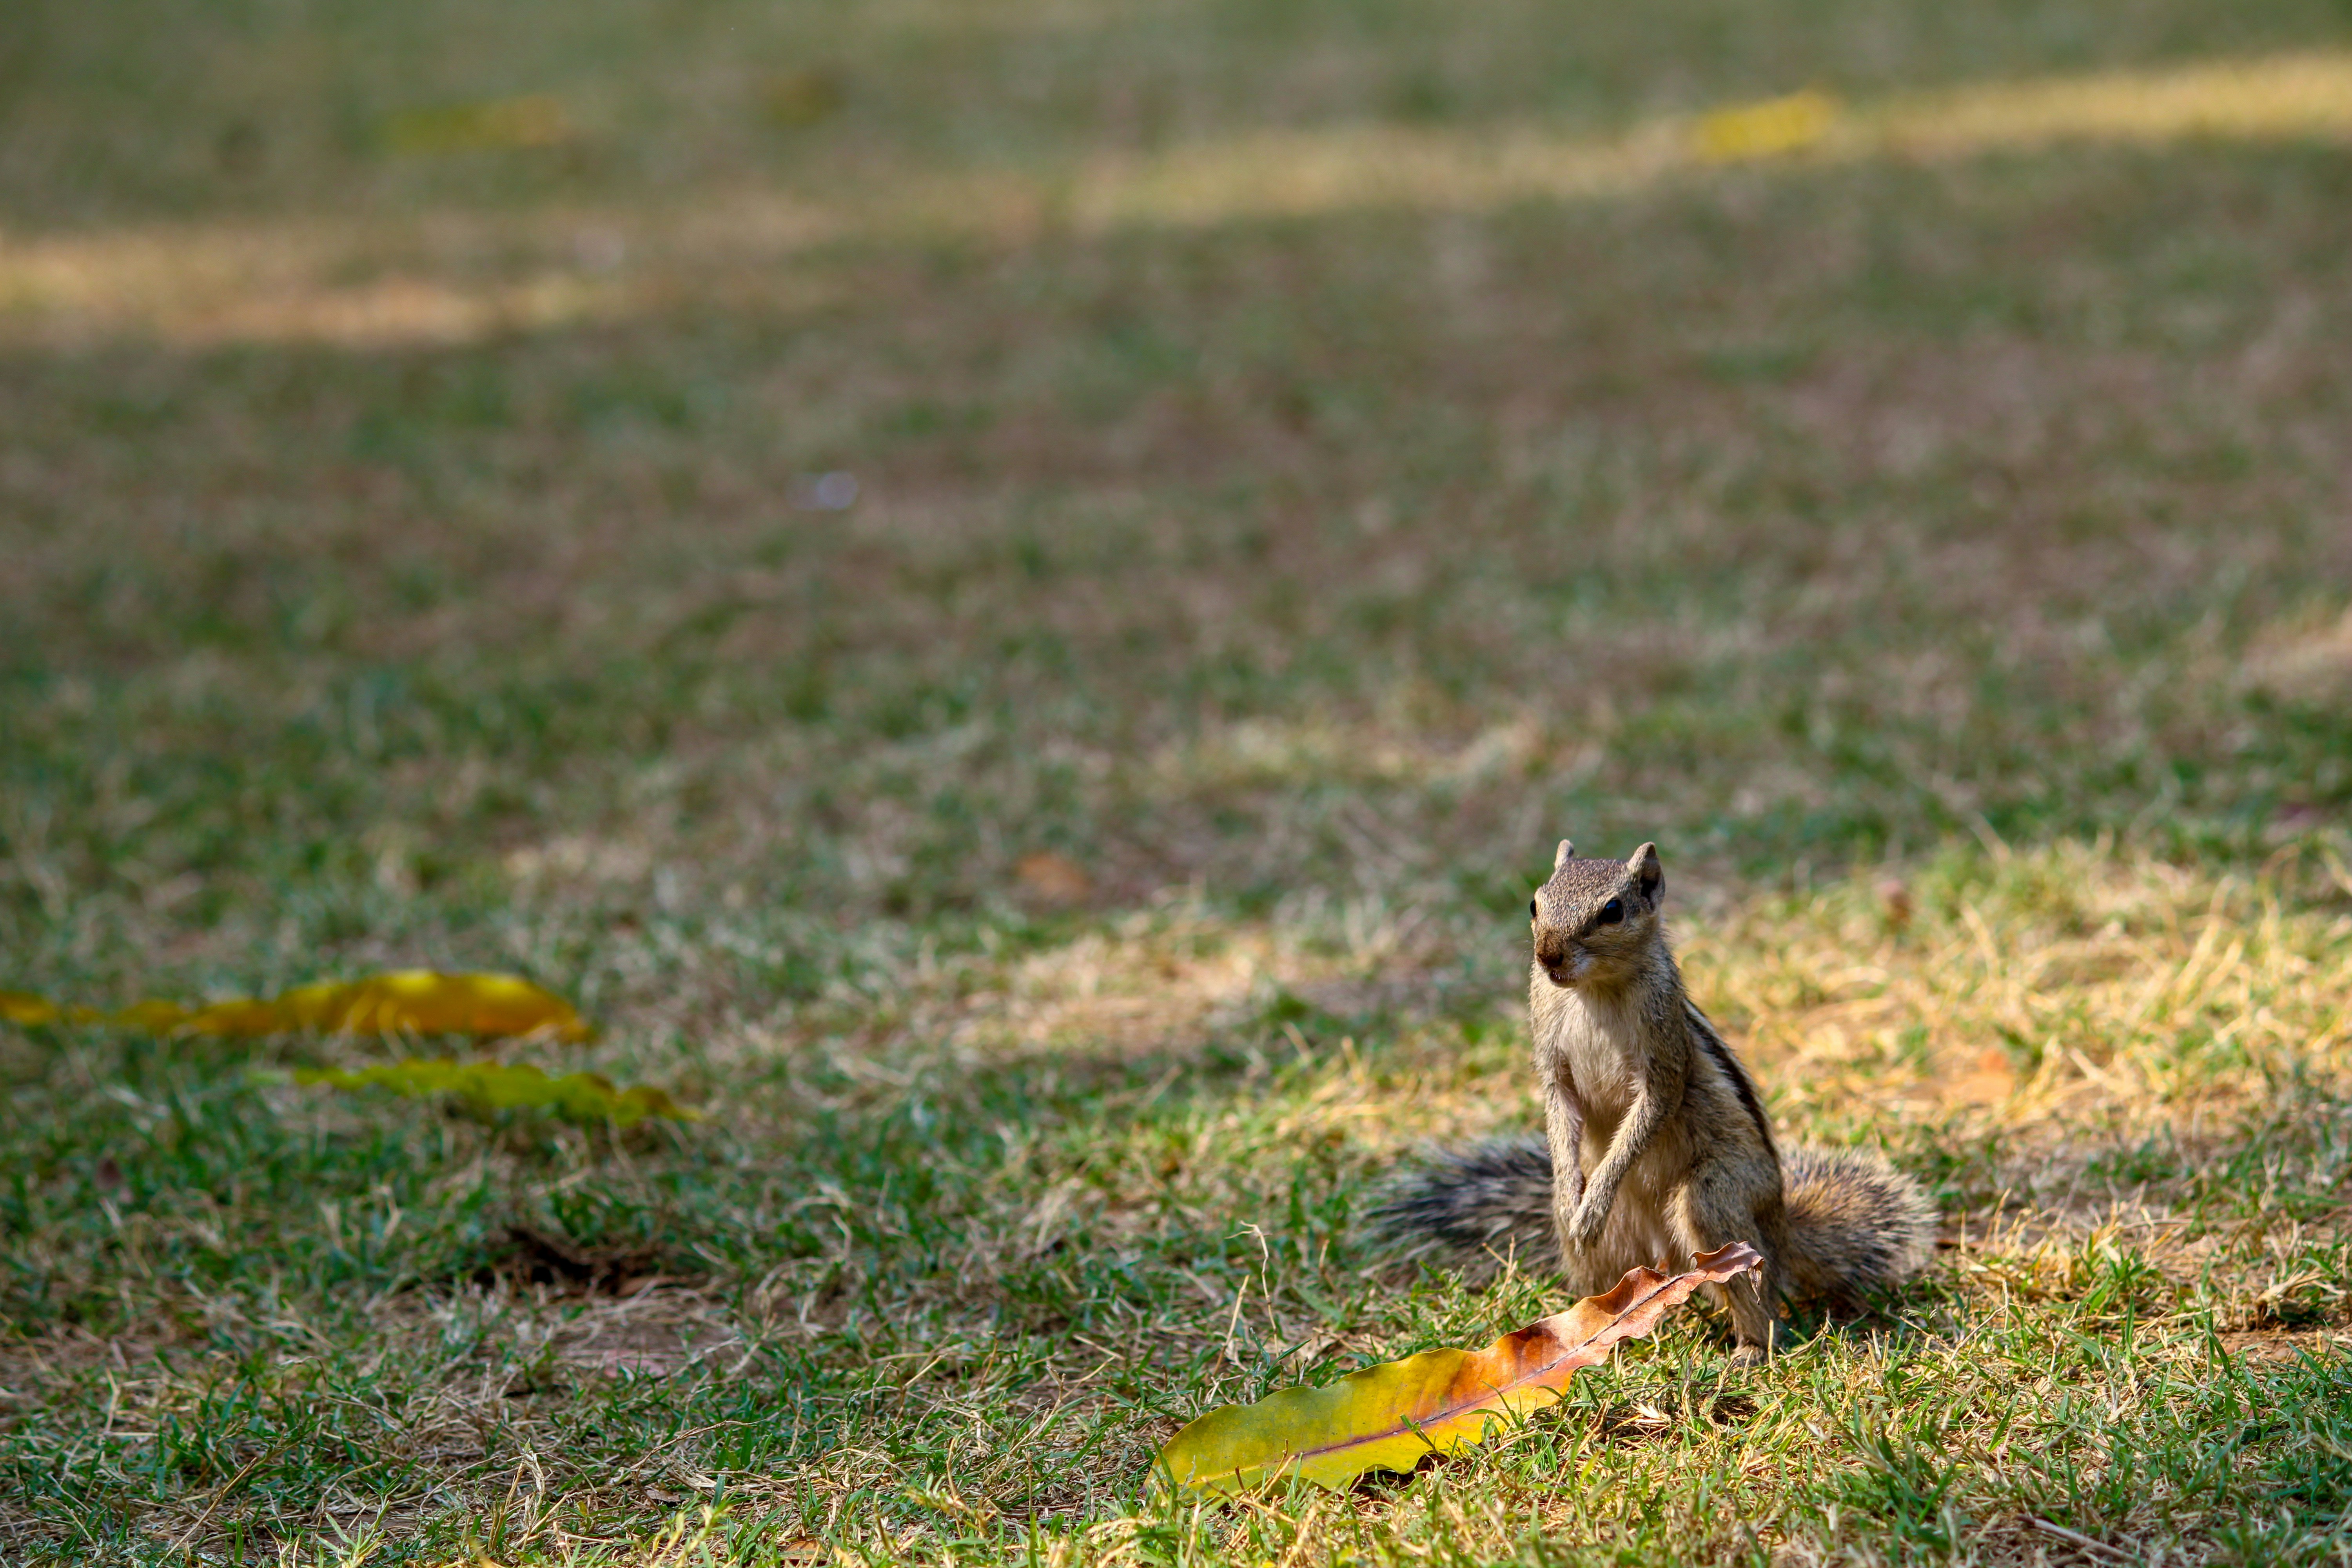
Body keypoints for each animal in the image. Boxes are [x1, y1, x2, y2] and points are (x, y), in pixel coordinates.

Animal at [1374, 839, 1935, 1360]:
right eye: (1535, 903)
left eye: (1613, 910)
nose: (1547, 955)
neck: (1592, 990)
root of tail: (1781, 1227)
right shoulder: (1553, 1062)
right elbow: (1560, 1110)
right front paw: (1572, 1190)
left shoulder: (1662, 1058)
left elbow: (1652, 1108)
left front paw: (1597, 1193)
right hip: (1608, 1250)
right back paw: (1592, 1332)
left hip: (1717, 1200)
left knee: (1759, 1292)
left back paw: (1751, 1349)